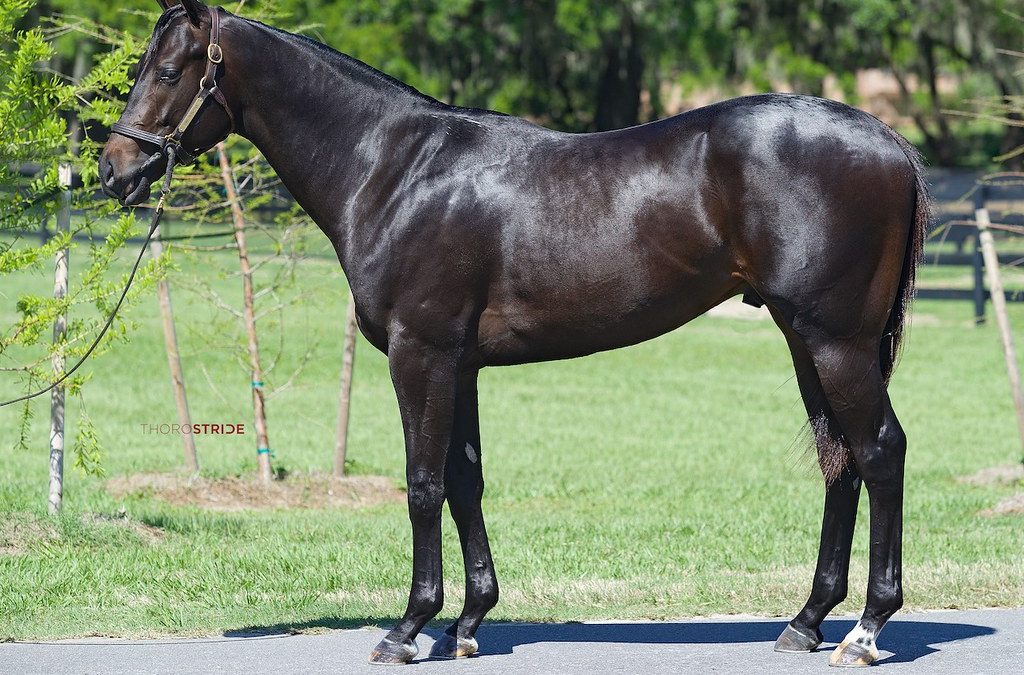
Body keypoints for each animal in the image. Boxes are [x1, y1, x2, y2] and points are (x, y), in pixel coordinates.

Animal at [100, 1, 929, 667]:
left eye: (169, 71)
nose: (114, 169)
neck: (395, 170)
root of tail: (889, 141)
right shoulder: (460, 364)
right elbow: (466, 481)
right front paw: (467, 622)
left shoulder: (421, 355)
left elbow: (423, 485)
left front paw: (407, 628)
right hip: (805, 338)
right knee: (840, 460)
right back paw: (807, 621)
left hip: (835, 340)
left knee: (880, 450)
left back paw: (866, 630)